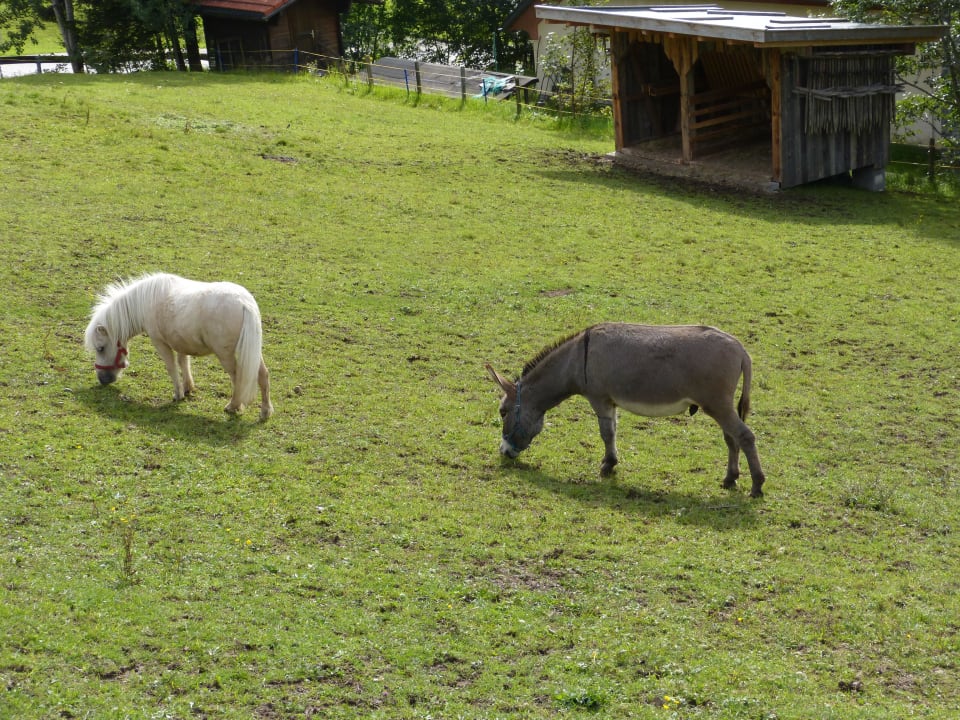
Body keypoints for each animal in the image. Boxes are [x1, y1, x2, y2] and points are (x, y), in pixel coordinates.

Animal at [84, 272, 274, 421]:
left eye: (100, 348)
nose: (102, 380)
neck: (147, 301)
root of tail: (244, 303)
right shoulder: (182, 343)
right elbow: (184, 363)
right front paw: (188, 387)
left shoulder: (160, 343)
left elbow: (172, 367)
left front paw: (178, 394)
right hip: (253, 353)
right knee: (263, 375)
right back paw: (265, 412)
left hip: (225, 355)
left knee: (238, 378)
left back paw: (233, 406)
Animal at [486, 323, 765, 497]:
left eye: (502, 412)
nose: (504, 453)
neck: (576, 359)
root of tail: (741, 348)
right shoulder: (611, 402)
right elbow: (613, 431)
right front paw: (610, 463)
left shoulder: (599, 398)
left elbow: (606, 433)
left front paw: (607, 466)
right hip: (720, 406)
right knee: (731, 438)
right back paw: (730, 479)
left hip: (717, 404)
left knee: (745, 436)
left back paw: (757, 486)